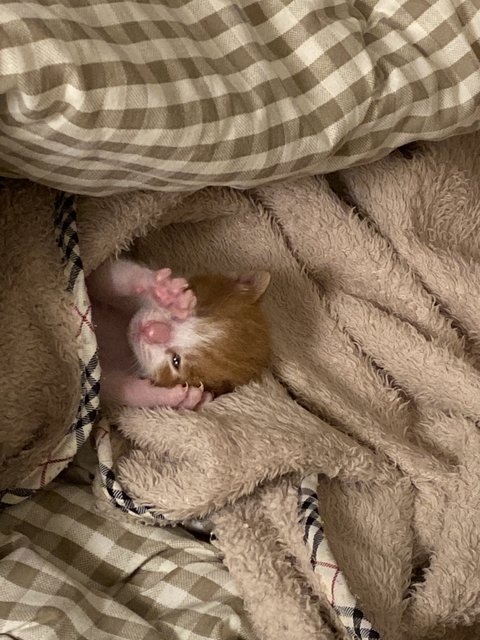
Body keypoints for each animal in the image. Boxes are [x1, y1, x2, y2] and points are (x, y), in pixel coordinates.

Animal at [86, 258, 271, 410]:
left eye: (176, 361)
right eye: (195, 310)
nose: (151, 331)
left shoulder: (100, 382)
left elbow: (113, 388)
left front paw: (177, 398)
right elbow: (104, 277)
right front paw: (163, 290)